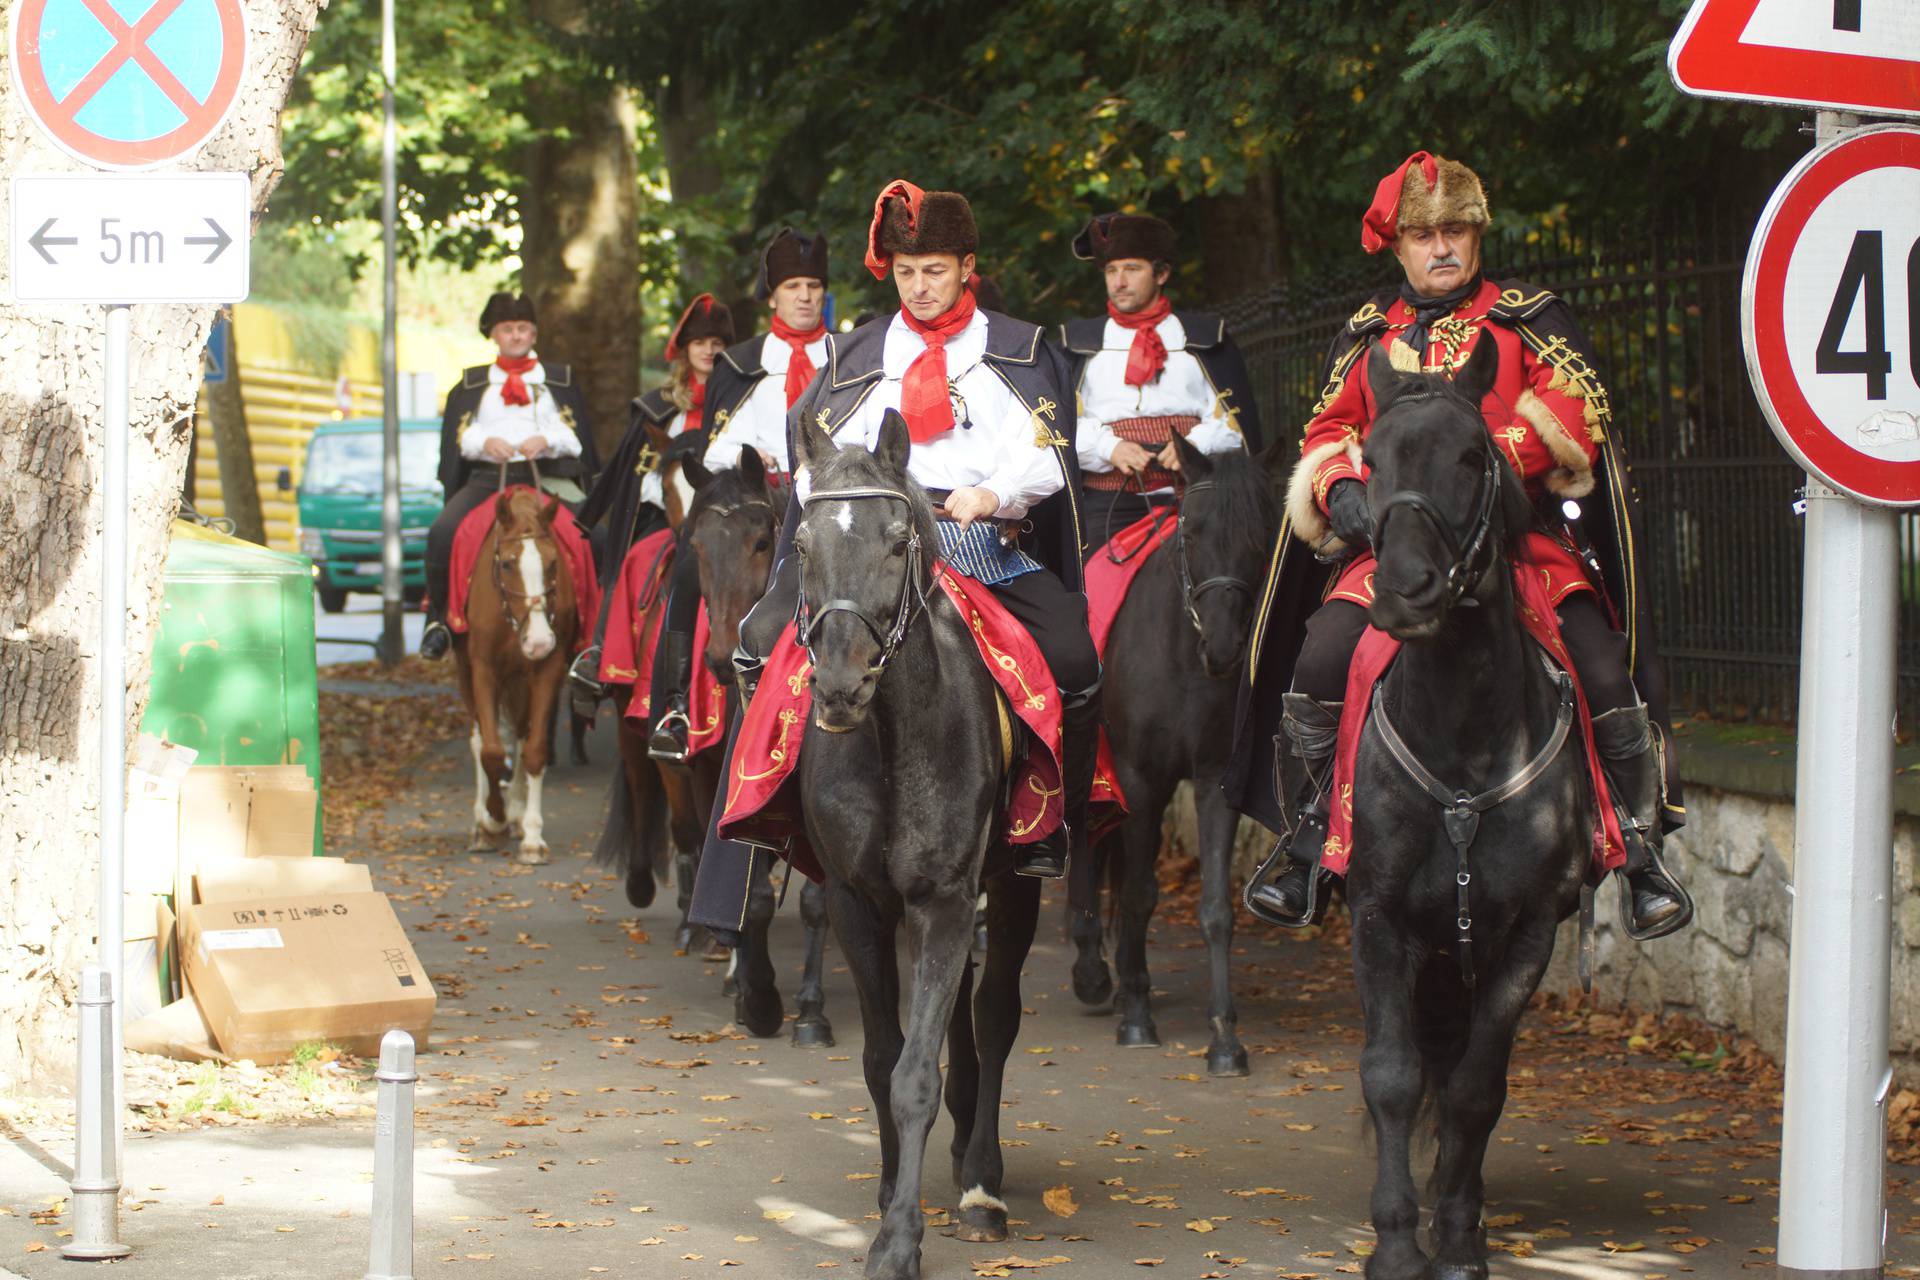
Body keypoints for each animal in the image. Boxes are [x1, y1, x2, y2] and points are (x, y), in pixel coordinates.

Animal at [455, 485, 576, 867]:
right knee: (480, 738)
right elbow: (492, 751)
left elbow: (535, 749)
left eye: (552, 564)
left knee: (522, 735)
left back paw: (519, 813)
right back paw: (484, 823)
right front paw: (492, 817)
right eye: (507, 563)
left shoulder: (548, 670)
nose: (538, 641)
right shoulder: (483, 669)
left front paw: (533, 836)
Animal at [787, 412, 1044, 1280]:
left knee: (993, 1016)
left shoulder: (945, 902)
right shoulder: (859, 904)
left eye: (898, 541)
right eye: (803, 542)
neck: (895, 738)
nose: (840, 685)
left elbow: (915, 1075)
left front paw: (900, 1240)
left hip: (1017, 884)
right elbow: (882, 1061)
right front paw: (886, 1198)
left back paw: (983, 1183)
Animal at [1067, 435, 1274, 1074]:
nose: (1225, 649)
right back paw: (1093, 972)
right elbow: (1138, 896)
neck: (1183, 655)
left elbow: (1215, 911)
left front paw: (1225, 1037)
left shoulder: (1214, 781)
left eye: (1261, 539)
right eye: (1193, 531)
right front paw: (1136, 1014)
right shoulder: (1139, 780)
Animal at [1344, 339, 1597, 1280]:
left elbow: (1477, 1089)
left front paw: (1455, 1237)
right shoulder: (1379, 915)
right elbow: (1393, 1076)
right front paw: (1394, 1241)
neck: (1464, 739)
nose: (1405, 591)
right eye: (1370, 460)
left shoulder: (1530, 929)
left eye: (1469, 455)